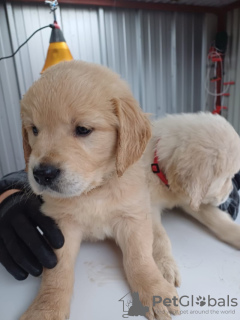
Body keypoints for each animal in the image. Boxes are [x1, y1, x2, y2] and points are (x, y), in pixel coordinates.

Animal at [20, 60, 178, 320]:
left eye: (83, 129)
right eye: (34, 130)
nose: (42, 173)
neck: (94, 190)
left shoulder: (133, 216)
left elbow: (139, 257)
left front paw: (154, 290)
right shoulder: (61, 225)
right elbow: (57, 271)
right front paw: (46, 308)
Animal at [144, 112, 240, 282]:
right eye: (227, 178)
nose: (230, 193)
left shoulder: (192, 199)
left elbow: (217, 219)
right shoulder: (148, 205)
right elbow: (160, 236)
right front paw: (165, 265)